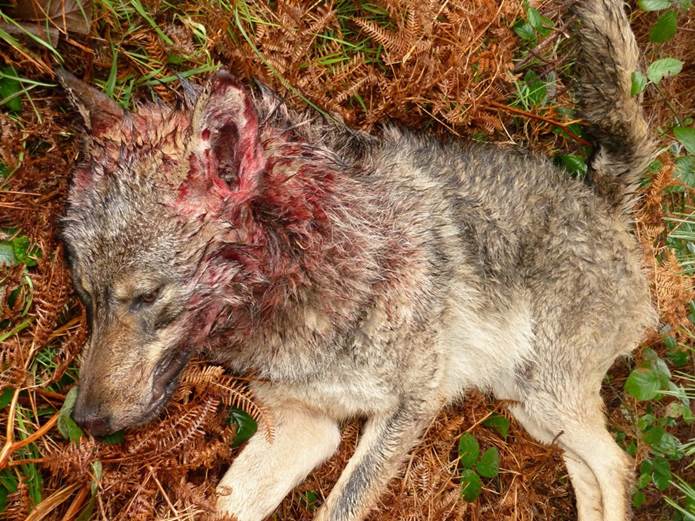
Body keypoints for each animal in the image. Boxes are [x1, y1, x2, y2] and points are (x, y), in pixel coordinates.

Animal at [59, 1, 655, 520]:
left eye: (146, 295)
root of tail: (604, 201)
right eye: (85, 295)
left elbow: (338, 507)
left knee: (617, 465)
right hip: (531, 411)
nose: (86, 421)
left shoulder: (412, 405)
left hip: (546, 398)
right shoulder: (300, 425)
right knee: (594, 473)